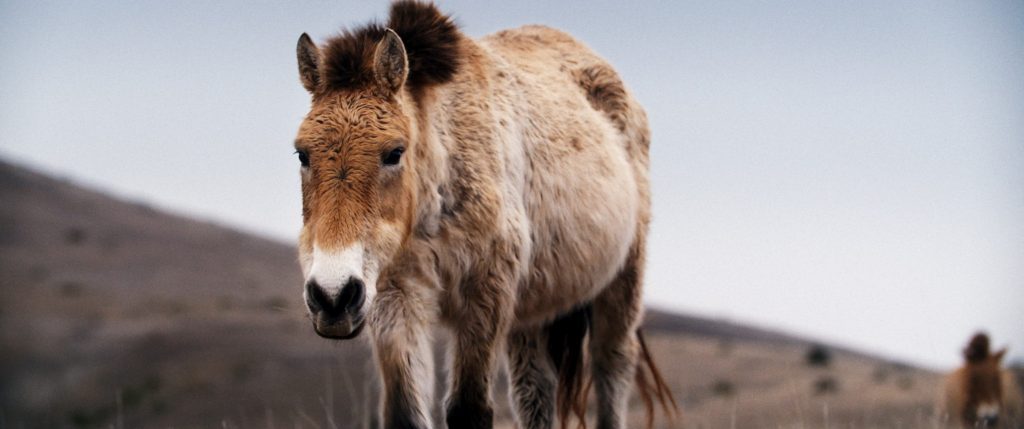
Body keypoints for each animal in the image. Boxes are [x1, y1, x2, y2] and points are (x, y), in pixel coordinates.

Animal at [290, 2, 671, 429]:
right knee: (535, 390)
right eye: (302, 153)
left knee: (612, 367)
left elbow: (469, 409)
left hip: (621, 285)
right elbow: (405, 411)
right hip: (531, 314)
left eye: (394, 152)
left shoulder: (485, 293)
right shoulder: (395, 295)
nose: (332, 297)